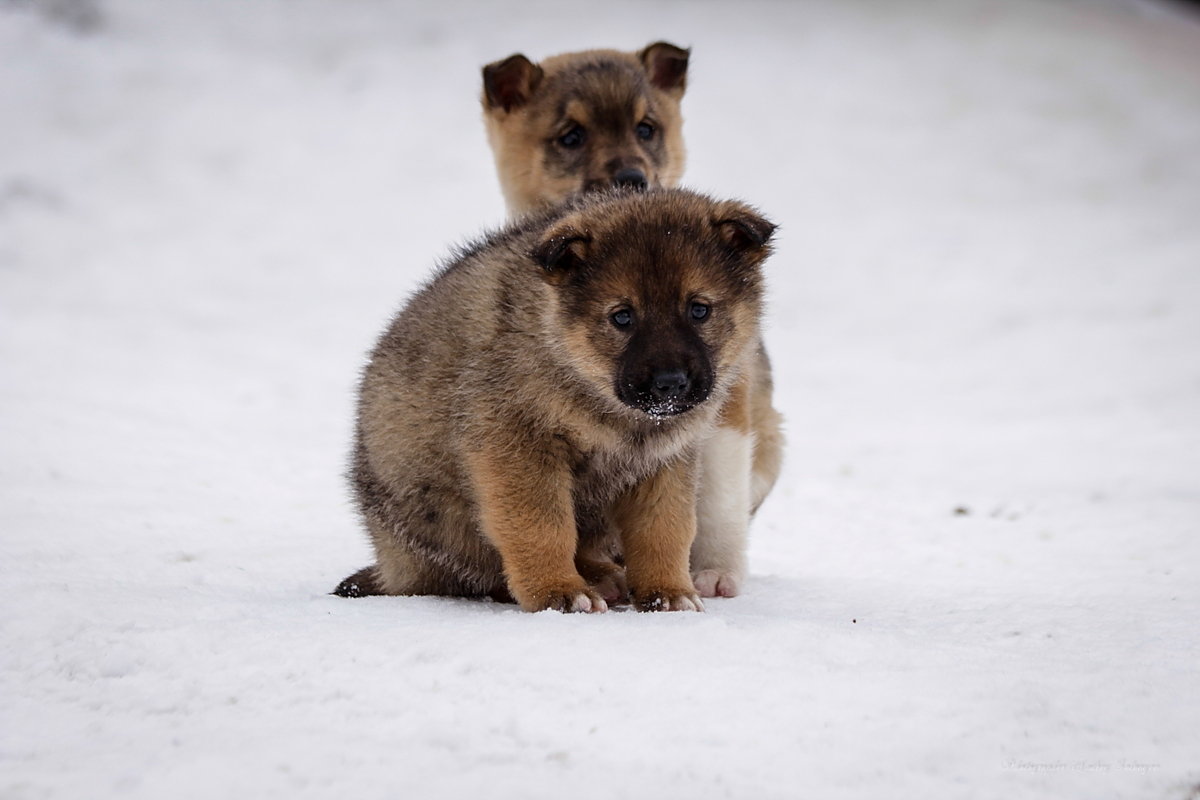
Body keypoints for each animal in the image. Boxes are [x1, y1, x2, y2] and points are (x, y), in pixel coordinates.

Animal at [336, 190, 777, 618]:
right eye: (622, 317)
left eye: (699, 309)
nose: (670, 384)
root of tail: (391, 565)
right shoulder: (516, 445)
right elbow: (542, 526)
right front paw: (557, 592)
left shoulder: (664, 460)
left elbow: (664, 529)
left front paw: (667, 593)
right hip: (443, 519)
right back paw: (593, 579)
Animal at [482, 42, 782, 594]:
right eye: (571, 136)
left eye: (647, 128)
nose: (631, 178)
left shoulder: (728, 404)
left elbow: (717, 499)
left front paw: (714, 574)